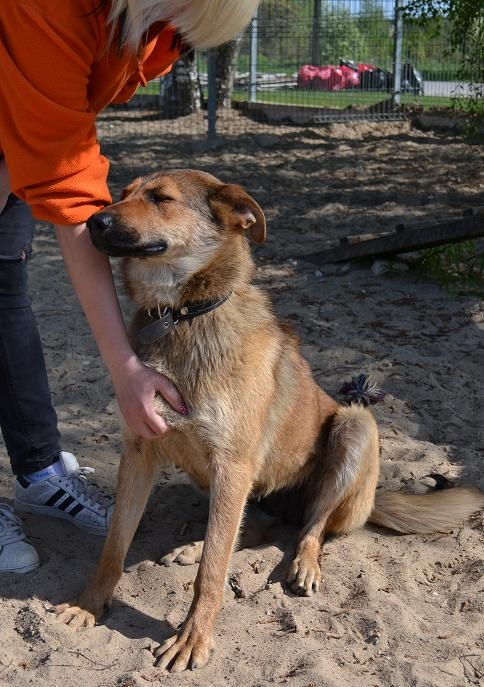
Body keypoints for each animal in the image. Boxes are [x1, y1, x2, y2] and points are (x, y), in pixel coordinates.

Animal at [54, 169, 484, 671]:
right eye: (122, 194)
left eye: (161, 198)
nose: (93, 221)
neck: (181, 317)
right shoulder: (142, 453)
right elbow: (115, 547)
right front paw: (89, 605)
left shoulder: (233, 466)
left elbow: (213, 573)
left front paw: (193, 637)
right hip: (223, 480)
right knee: (250, 528)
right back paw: (192, 547)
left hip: (355, 427)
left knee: (310, 528)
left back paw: (303, 563)